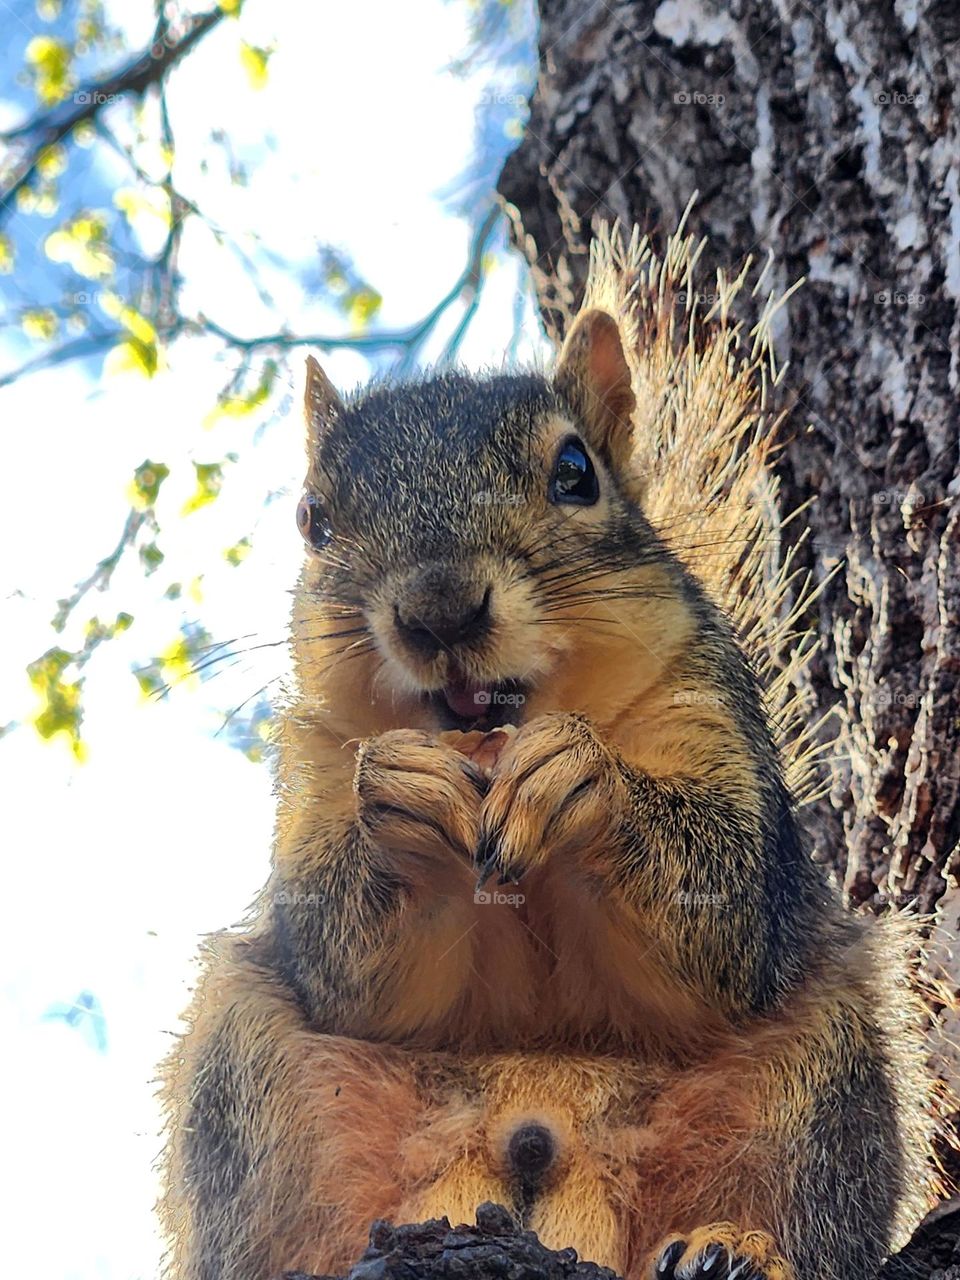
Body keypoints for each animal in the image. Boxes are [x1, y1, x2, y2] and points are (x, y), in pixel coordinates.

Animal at [159, 221, 943, 1280]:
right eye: (311, 520)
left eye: (578, 473)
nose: (439, 609)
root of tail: (538, 1135)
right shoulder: (314, 761)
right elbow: (340, 951)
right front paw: (398, 795)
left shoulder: (708, 712)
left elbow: (724, 904)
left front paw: (582, 775)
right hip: (256, 1075)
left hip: (819, 1071)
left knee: (804, 1204)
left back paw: (735, 1248)